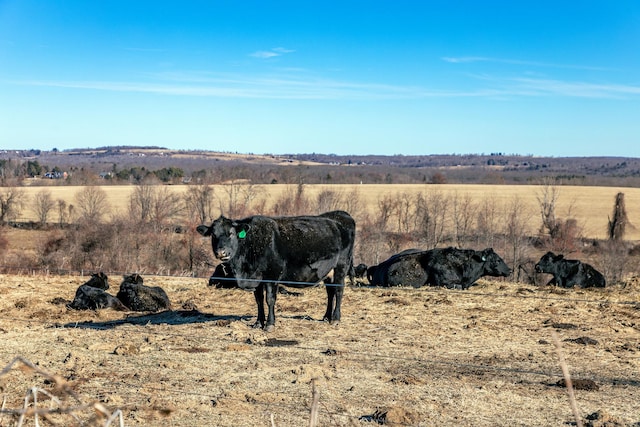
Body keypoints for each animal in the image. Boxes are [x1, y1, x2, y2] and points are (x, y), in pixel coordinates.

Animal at [196, 211, 356, 332]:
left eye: (230, 233)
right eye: (213, 235)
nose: (221, 252)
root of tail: (341, 216)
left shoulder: (272, 276)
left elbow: (270, 300)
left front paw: (269, 324)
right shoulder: (256, 278)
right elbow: (259, 301)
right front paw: (258, 323)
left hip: (341, 266)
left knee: (339, 291)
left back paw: (336, 318)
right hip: (328, 271)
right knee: (330, 292)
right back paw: (326, 317)